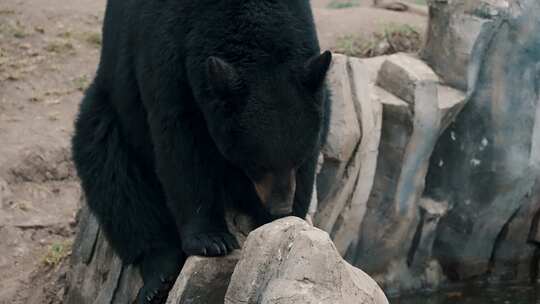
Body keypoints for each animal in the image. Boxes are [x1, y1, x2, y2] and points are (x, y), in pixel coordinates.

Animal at [70, 0, 334, 302]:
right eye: (256, 164)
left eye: (297, 159)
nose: (280, 207)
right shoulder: (168, 51)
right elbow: (180, 144)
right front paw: (211, 240)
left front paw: (289, 221)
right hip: (111, 108)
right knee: (112, 174)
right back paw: (159, 275)